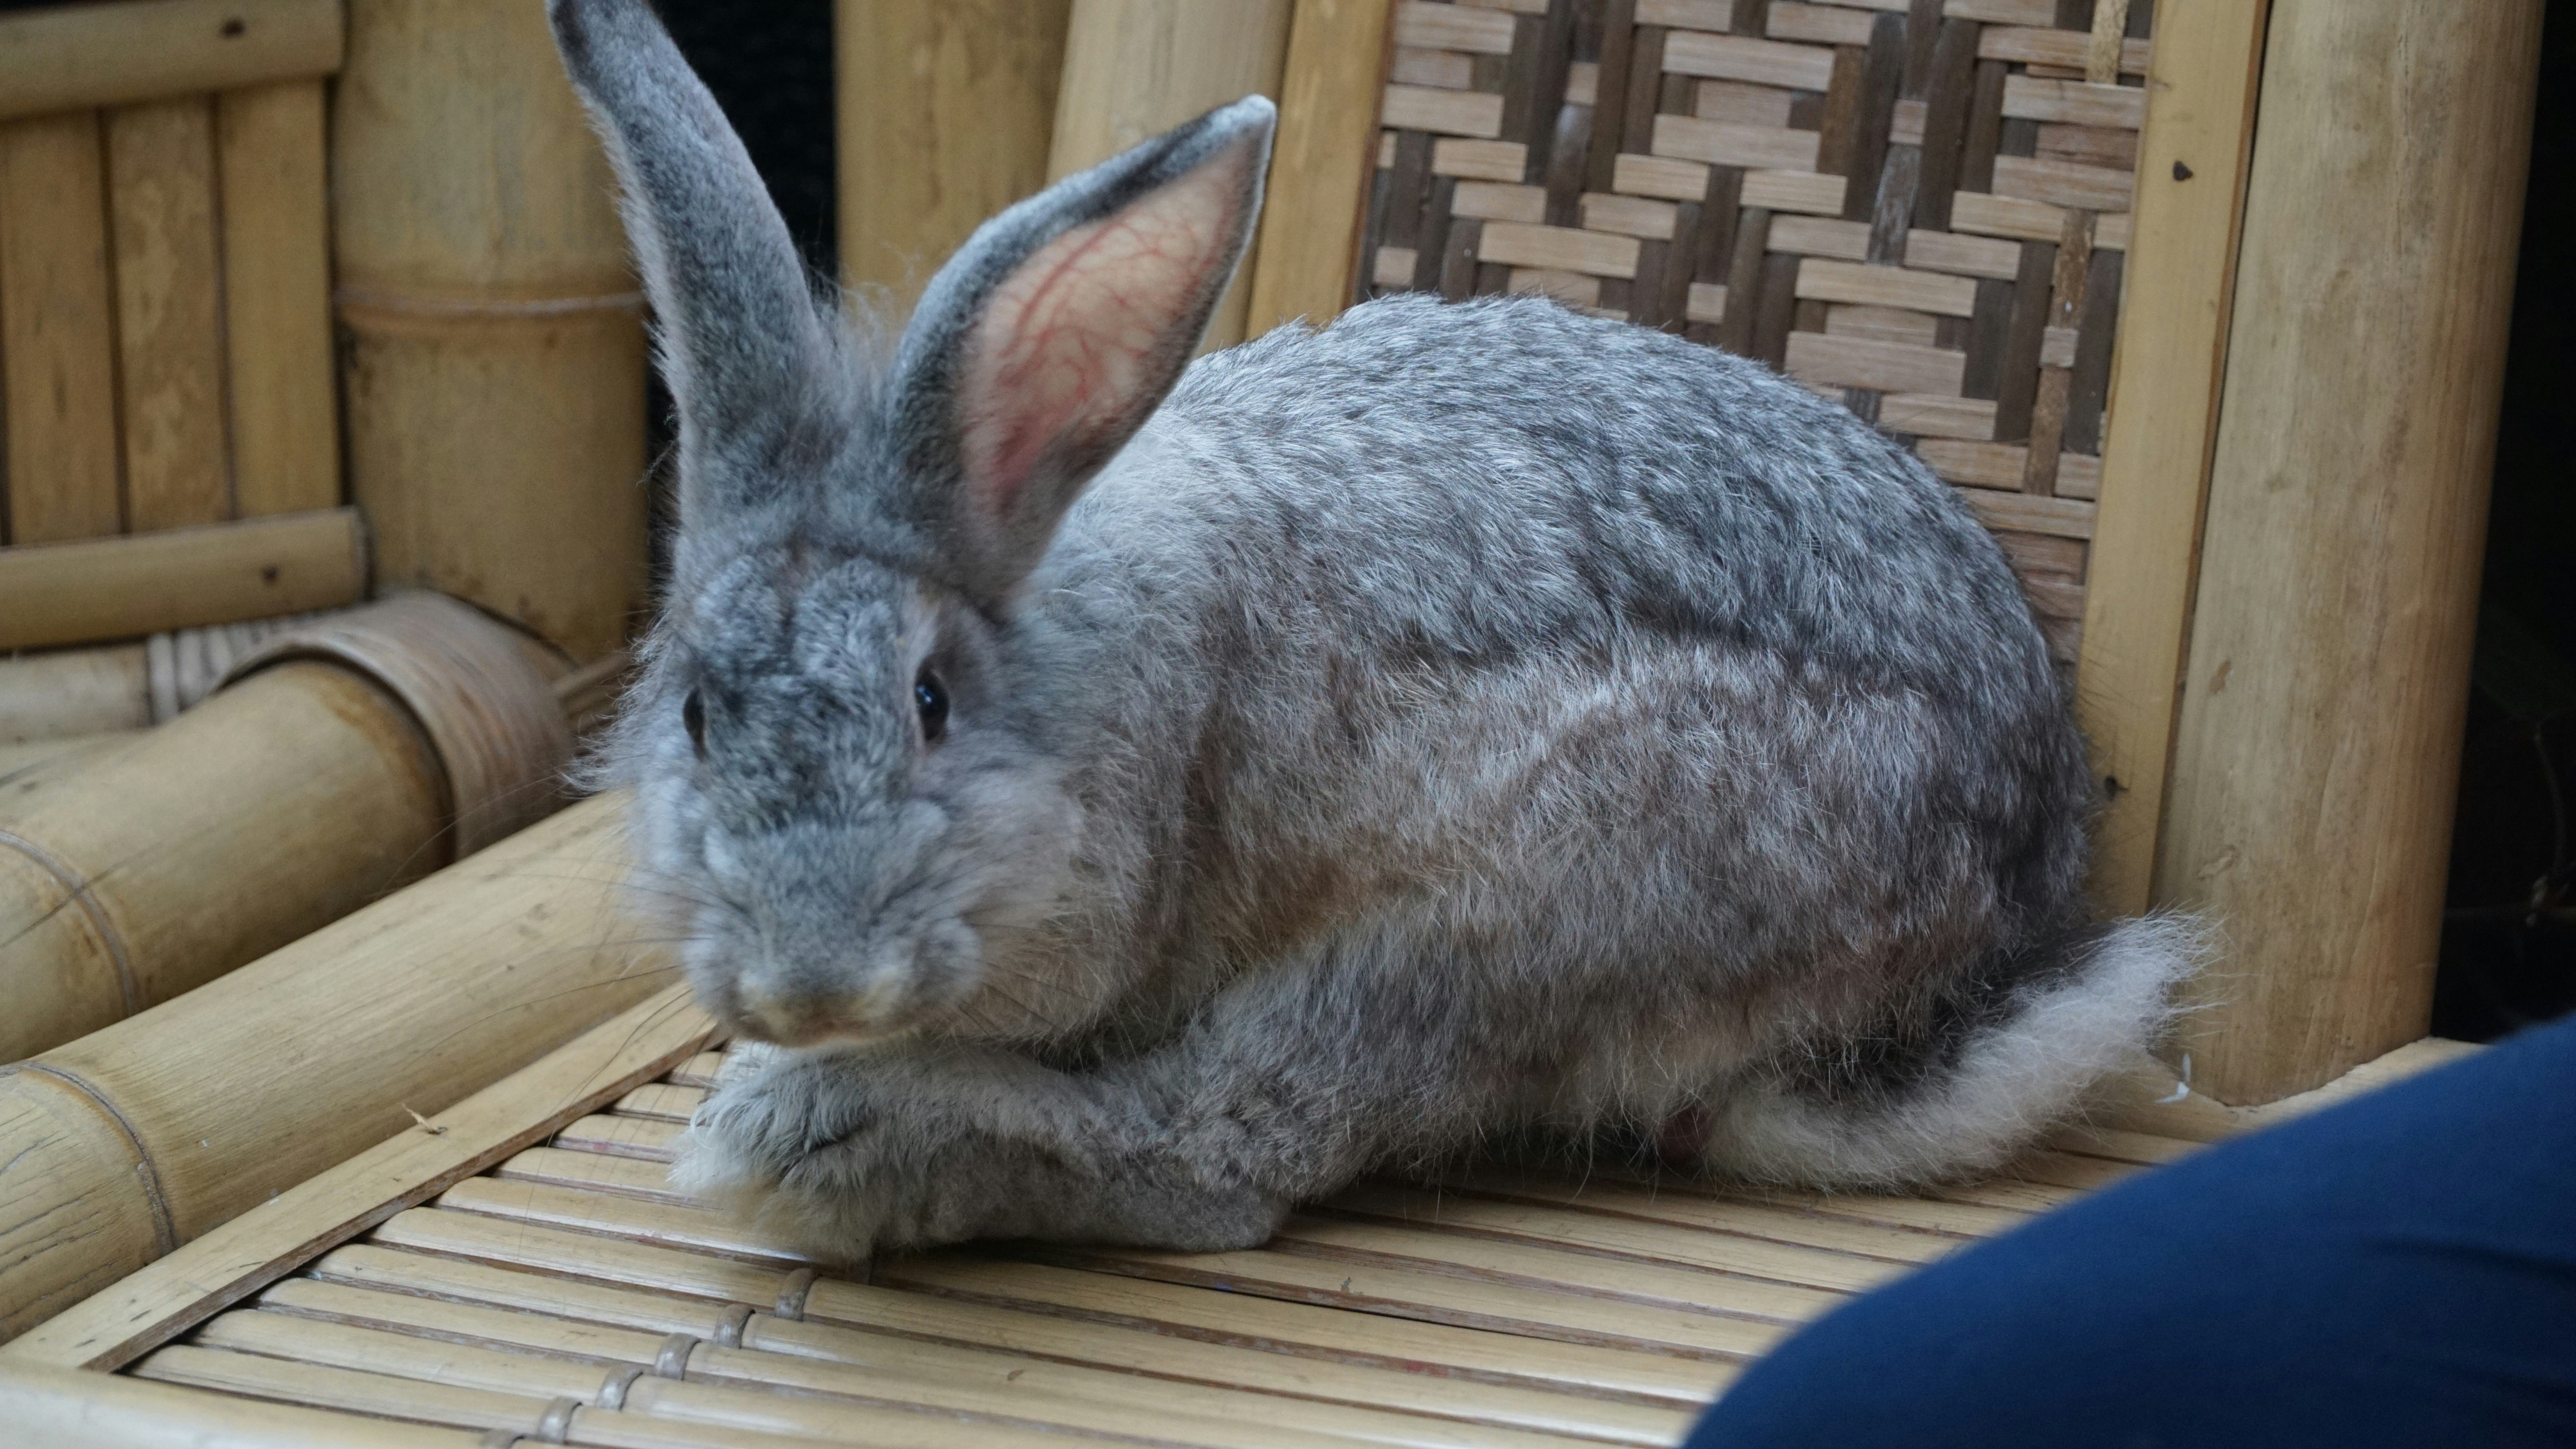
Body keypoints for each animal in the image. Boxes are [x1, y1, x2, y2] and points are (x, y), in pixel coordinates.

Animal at [551, 0, 2201, 1261]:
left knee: (1216, 1159)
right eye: (695, 714)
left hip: (1501, 913)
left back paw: (809, 1150)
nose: (808, 988)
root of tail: (2002, 911)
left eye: (931, 700)